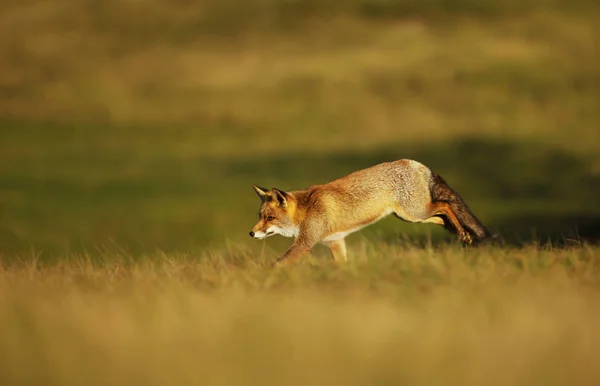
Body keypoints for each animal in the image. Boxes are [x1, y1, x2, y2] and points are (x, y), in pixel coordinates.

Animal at [250, 158, 492, 266]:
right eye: (260, 217)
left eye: (270, 218)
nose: (251, 233)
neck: (306, 209)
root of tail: (416, 163)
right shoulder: (335, 242)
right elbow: (342, 266)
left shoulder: (305, 243)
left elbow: (277, 264)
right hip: (411, 217)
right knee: (441, 217)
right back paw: (461, 232)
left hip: (416, 212)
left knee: (445, 205)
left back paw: (463, 233)